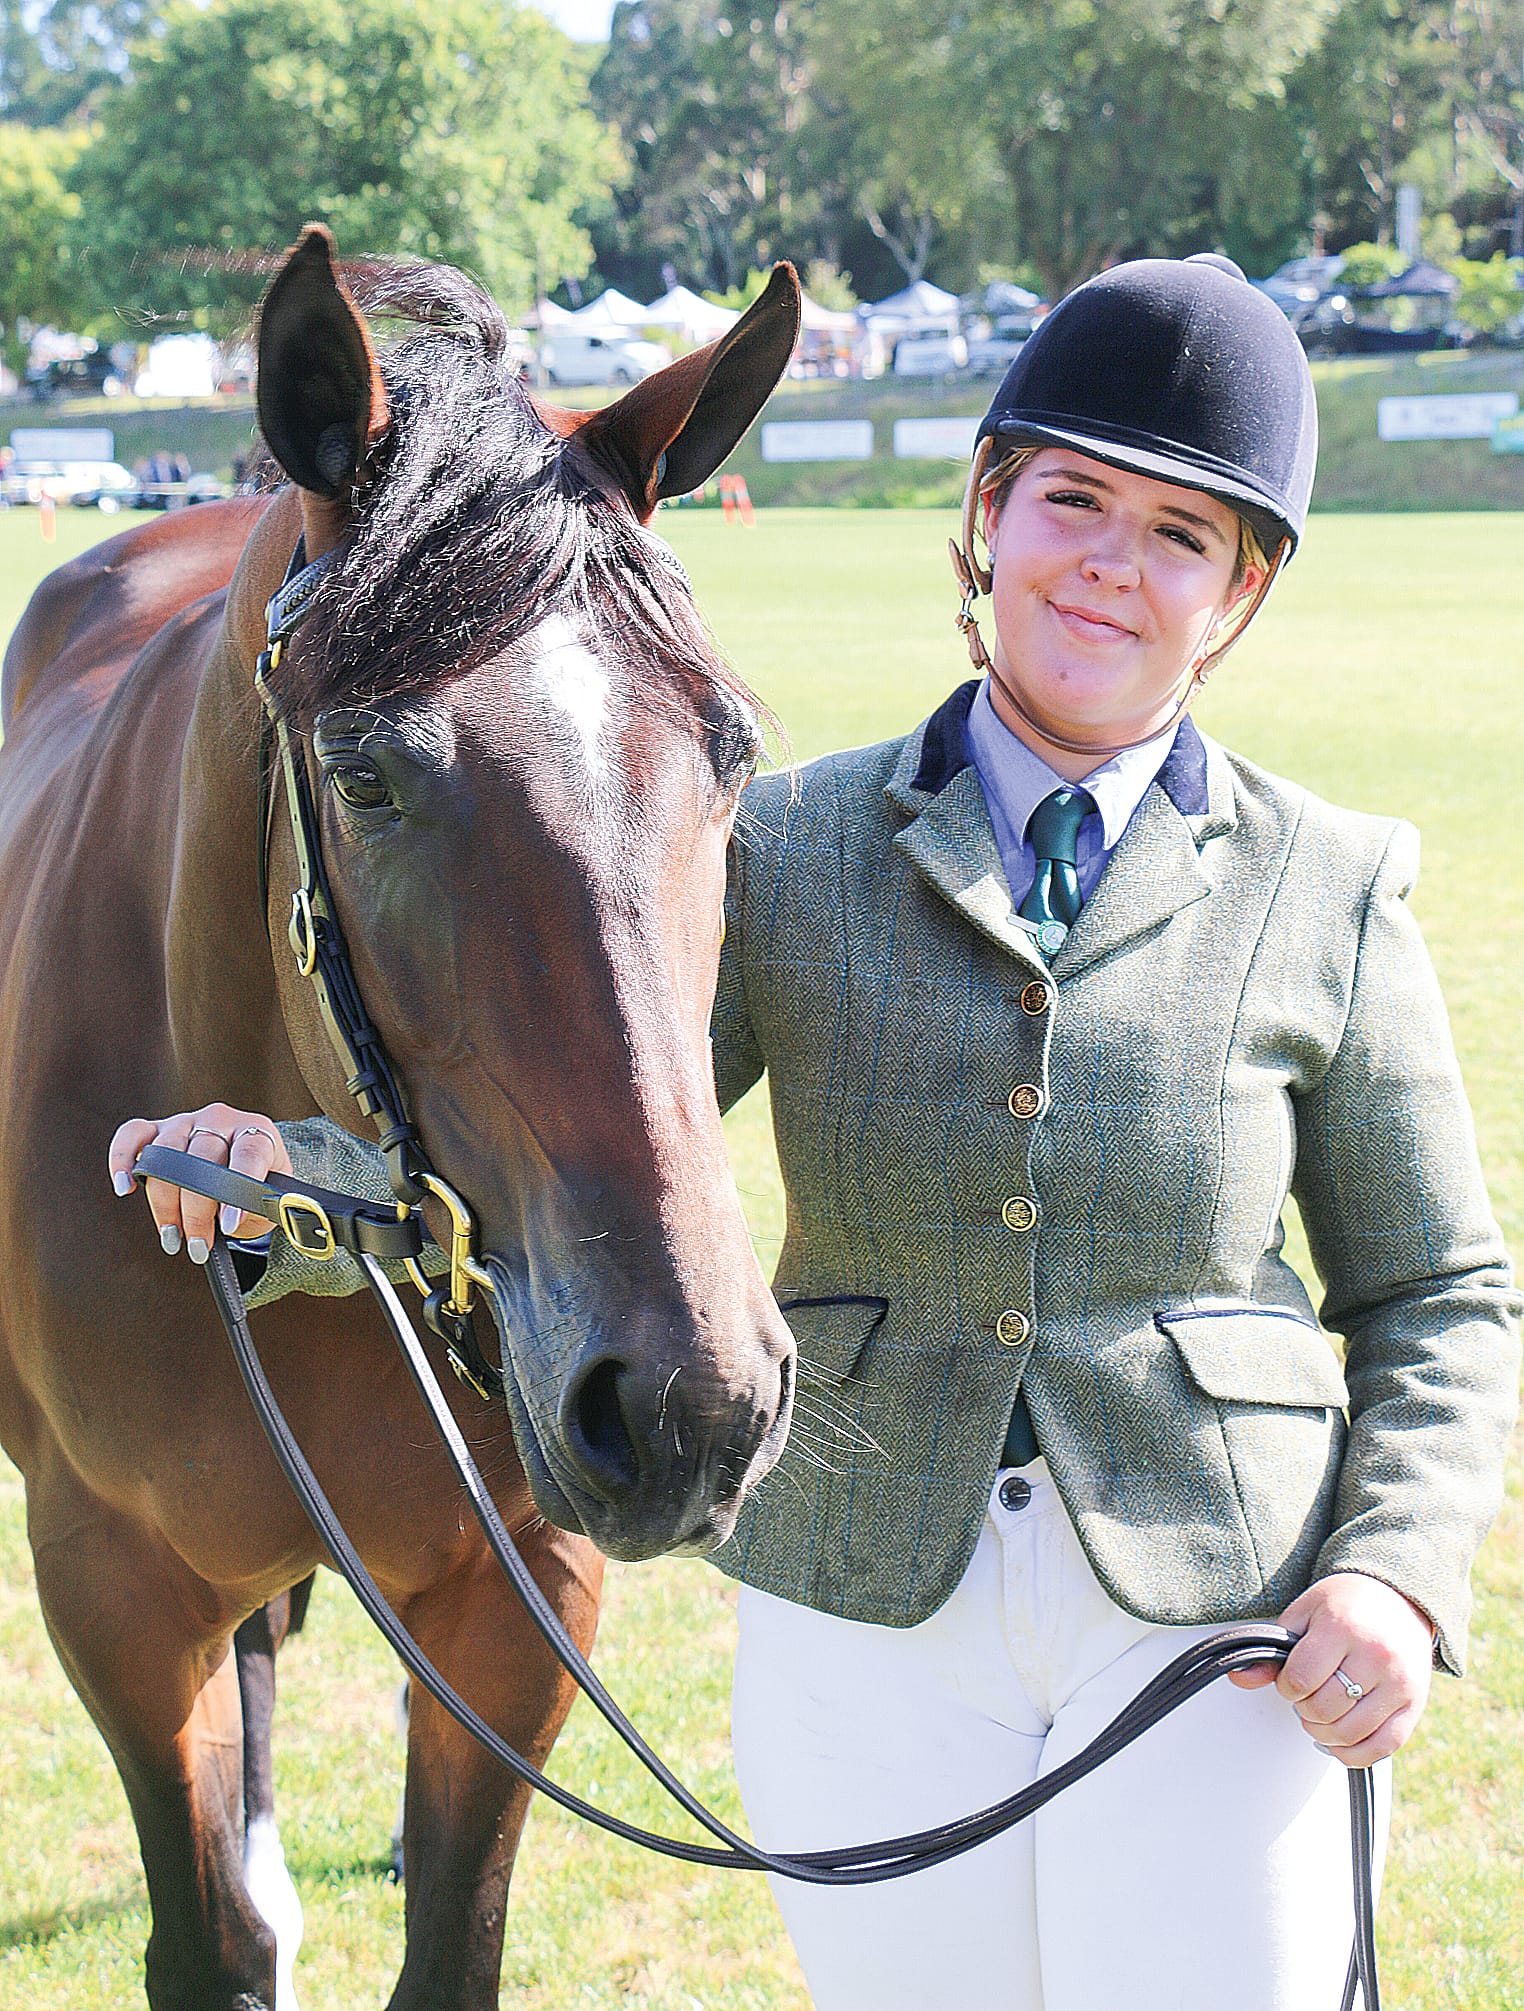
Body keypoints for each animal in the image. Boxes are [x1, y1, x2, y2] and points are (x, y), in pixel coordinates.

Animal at [0, 225, 799, 2011]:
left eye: (730, 753)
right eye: (362, 773)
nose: (691, 1402)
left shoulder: (521, 1591)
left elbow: (455, 1938)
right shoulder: (115, 1593)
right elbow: (208, 1942)